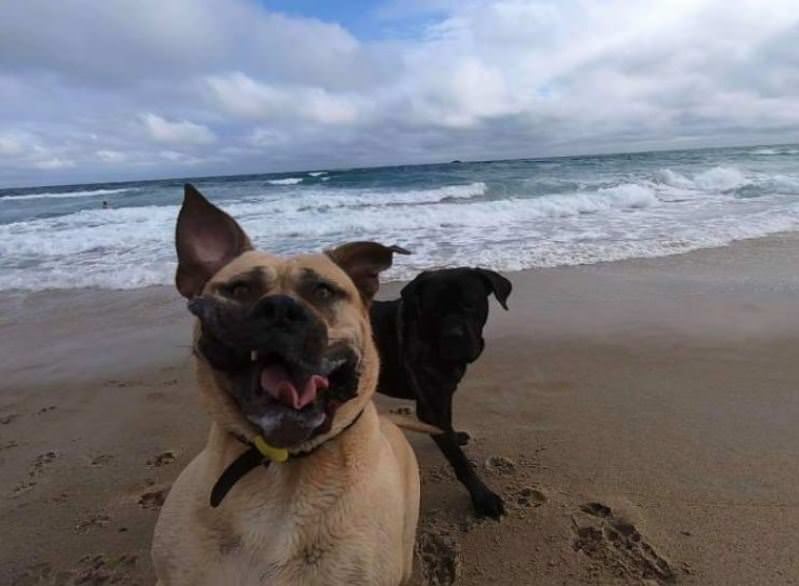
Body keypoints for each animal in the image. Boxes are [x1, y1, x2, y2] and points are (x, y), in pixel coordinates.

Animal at [370, 266, 512, 516]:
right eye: (434, 310)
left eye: (469, 304)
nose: (453, 335)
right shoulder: (430, 405)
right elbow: (460, 461)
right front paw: (482, 497)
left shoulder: (444, 395)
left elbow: (448, 427)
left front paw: (454, 435)